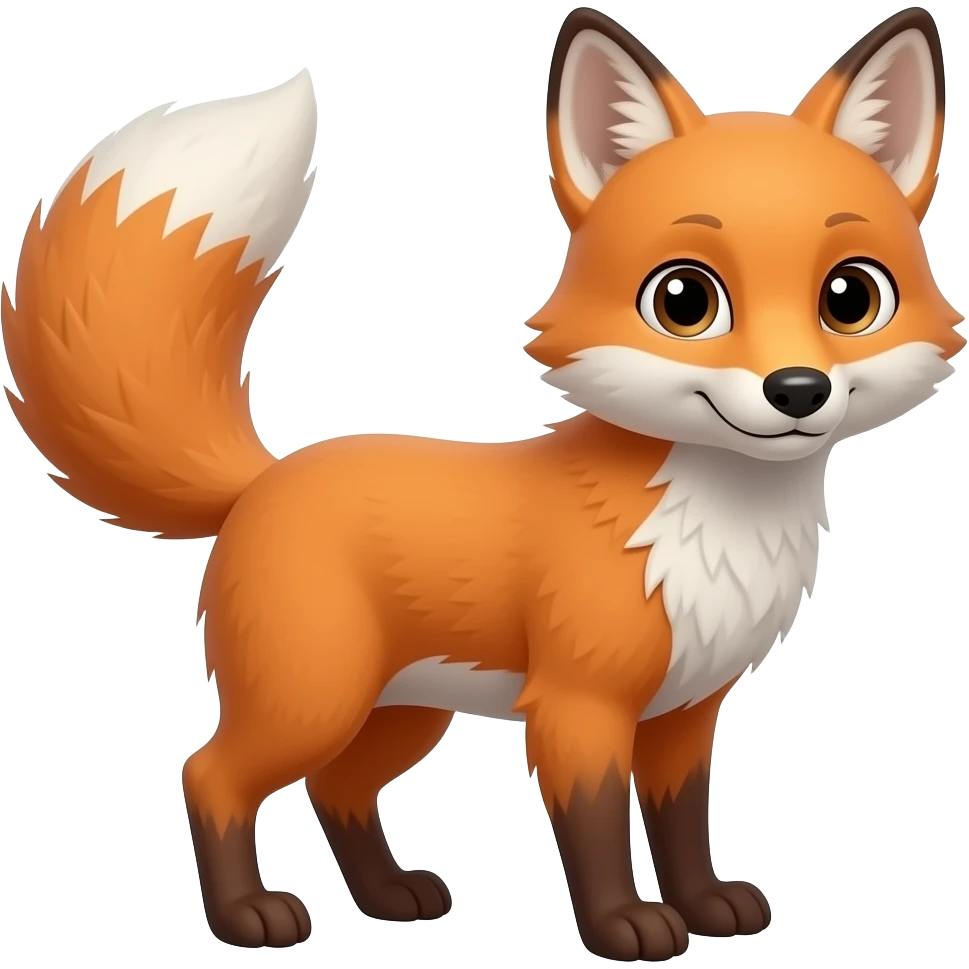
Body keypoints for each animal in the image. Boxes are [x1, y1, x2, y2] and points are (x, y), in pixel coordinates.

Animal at [2, 7, 963, 961]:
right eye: (684, 301)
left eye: (850, 297)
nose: (797, 390)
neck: (714, 528)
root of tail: (267, 475)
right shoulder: (579, 706)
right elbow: (595, 828)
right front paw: (622, 927)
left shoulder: (686, 711)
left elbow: (682, 822)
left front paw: (704, 905)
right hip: (313, 696)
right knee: (210, 775)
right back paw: (248, 917)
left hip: (400, 711)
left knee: (337, 790)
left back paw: (389, 896)